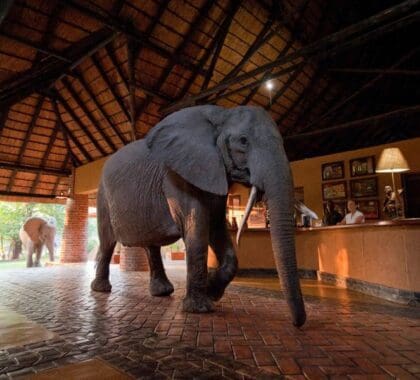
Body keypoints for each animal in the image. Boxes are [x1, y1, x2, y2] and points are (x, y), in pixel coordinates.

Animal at [92, 105, 306, 328]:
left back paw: (162, 292)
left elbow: (217, 227)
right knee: (107, 242)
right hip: (103, 197)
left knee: (151, 246)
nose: (297, 324)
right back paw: (101, 289)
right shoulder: (177, 175)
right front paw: (200, 308)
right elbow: (198, 228)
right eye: (243, 141)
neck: (221, 115)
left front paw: (212, 292)